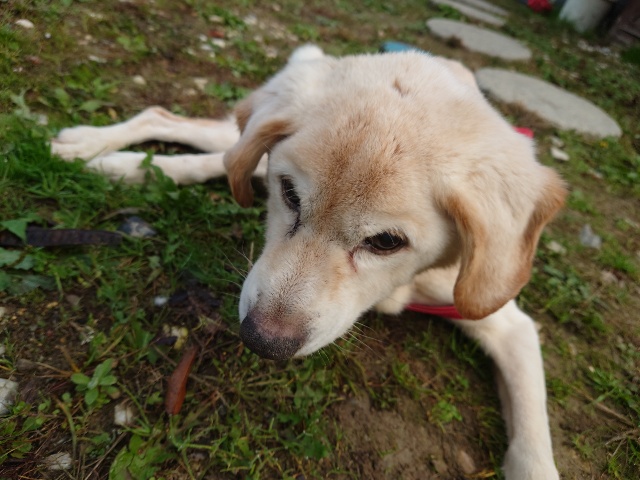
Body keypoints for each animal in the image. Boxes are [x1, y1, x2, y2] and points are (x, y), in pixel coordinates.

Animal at [51, 45, 566, 479]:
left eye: (387, 242)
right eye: (291, 194)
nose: (263, 341)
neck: (406, 284)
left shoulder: (505, 320)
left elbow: (533, 444)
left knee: (210, 155)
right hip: (253, 136)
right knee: (186, 128)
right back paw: (93, 149)